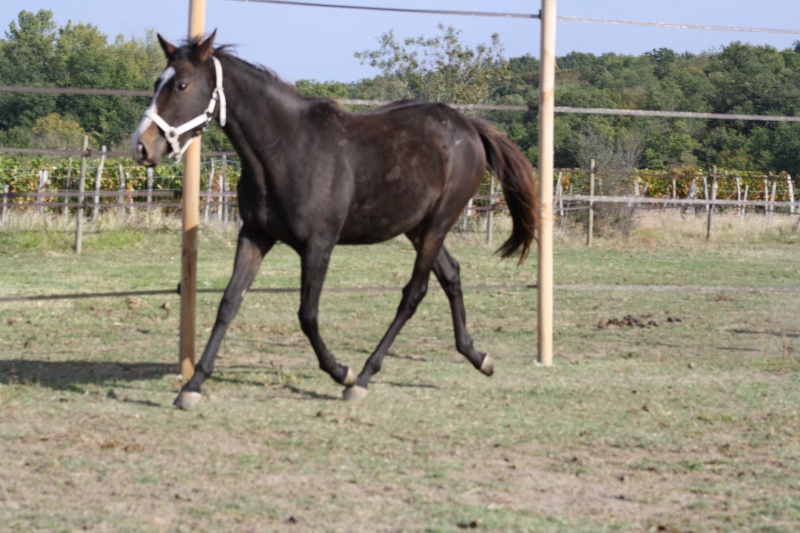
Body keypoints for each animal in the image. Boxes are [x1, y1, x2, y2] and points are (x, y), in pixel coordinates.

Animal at [133, 34, 536, 408]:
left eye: (182, 85)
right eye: (156, 82)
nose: (142, 146)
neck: (286, 150)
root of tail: (468, 126)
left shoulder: (318, 244)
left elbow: (307, 314)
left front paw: (342, 372)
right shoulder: (255, 235)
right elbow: (229, 303)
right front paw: (192, 386)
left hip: (438, 222)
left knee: (414, 293)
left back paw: (365, 377)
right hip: (417, 228)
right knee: (451, 274)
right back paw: (478, 357)